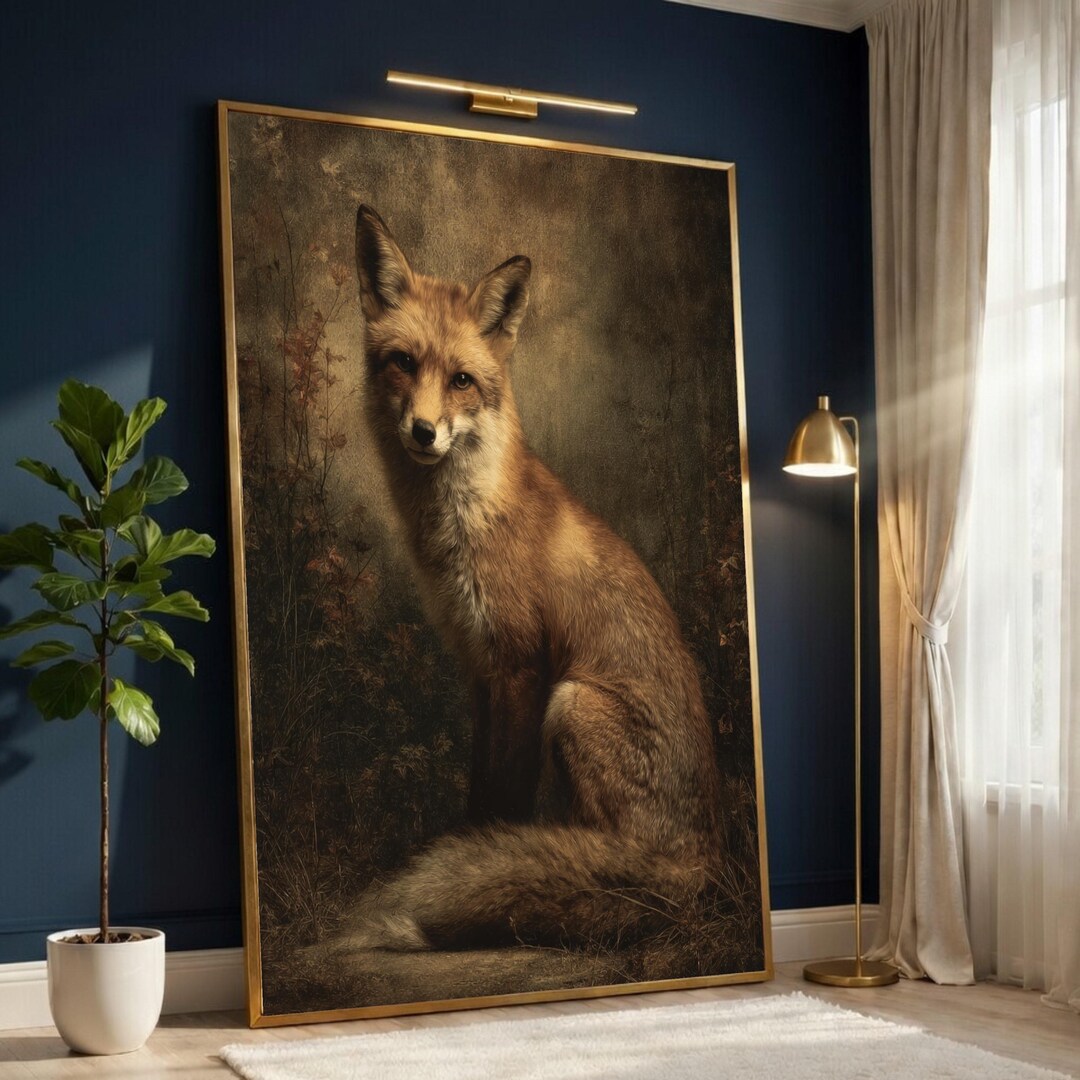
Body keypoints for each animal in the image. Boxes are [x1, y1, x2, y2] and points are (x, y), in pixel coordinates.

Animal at [347, 204, 726, 952]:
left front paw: (482, 860)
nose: (424, 431)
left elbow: (504, 798)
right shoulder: (480, 666)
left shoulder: (521, 666)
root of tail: (703, 863)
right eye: (404, 364)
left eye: (462, 380)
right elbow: (479, 792)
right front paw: (472, 852)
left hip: (573, 702)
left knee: (608, 858)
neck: (463, 520)